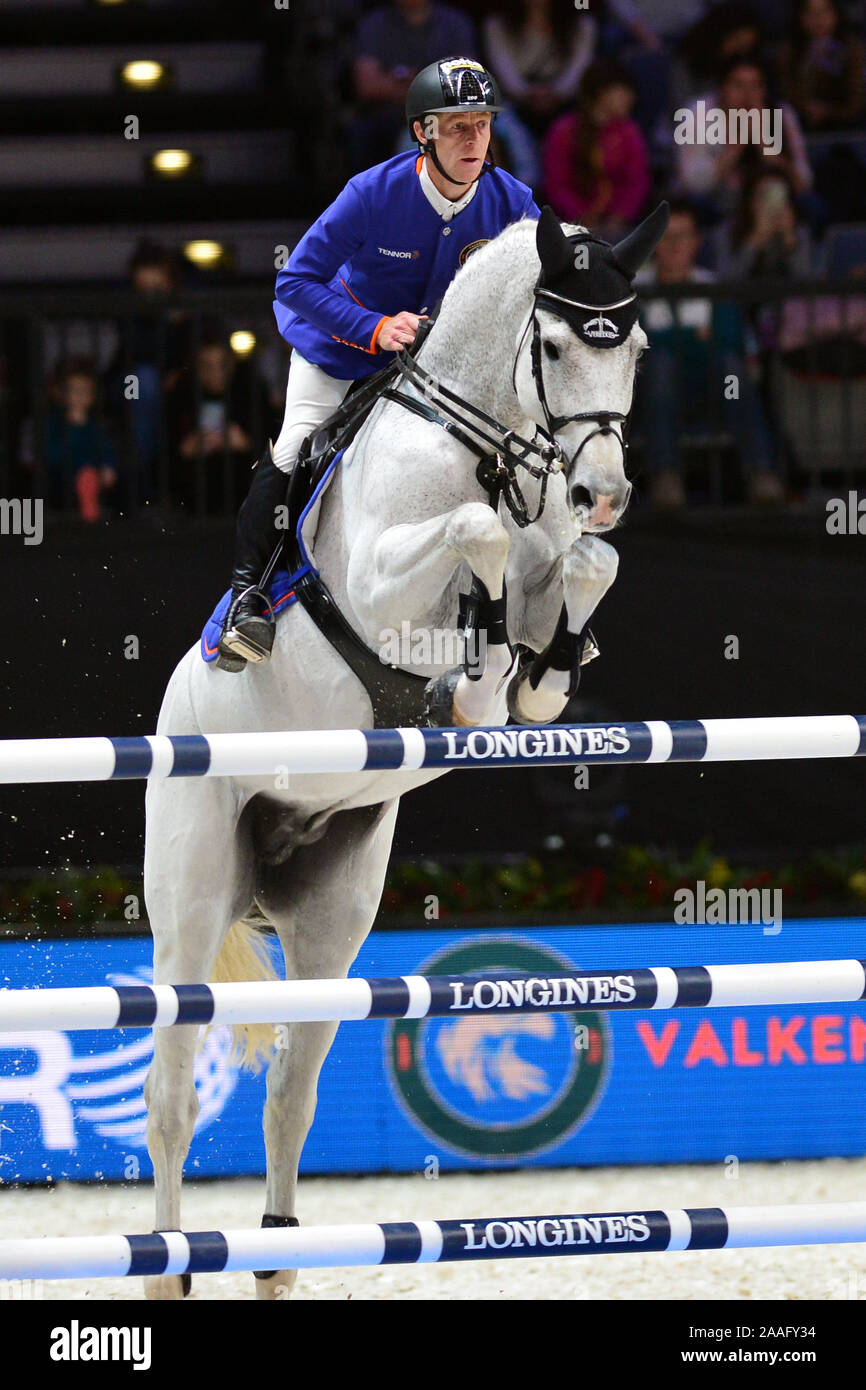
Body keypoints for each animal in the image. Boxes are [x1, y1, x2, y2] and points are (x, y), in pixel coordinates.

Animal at [143, 201, 670, 1295]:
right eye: (553, 347)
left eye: (635, 347)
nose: (601, 490)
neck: (488, 444)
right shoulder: (385, 580)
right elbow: (475, 536)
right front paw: (465, 675)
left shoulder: (555, 554)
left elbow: (577, 571)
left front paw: (539, 669)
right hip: (192, 892)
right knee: (170, 1094)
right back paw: (168, 1267)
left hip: (332, 913)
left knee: (289, 1096)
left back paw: (274, 1259)